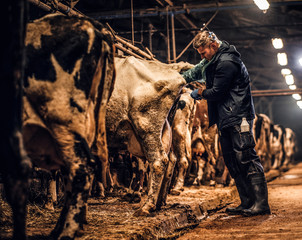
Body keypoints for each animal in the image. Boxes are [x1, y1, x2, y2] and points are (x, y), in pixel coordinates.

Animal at [105, 55, 186, 216]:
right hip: (164, 130)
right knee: (170, 160)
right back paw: (158, 202)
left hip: (146, 126)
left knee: (159, 161)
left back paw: (146, 206)